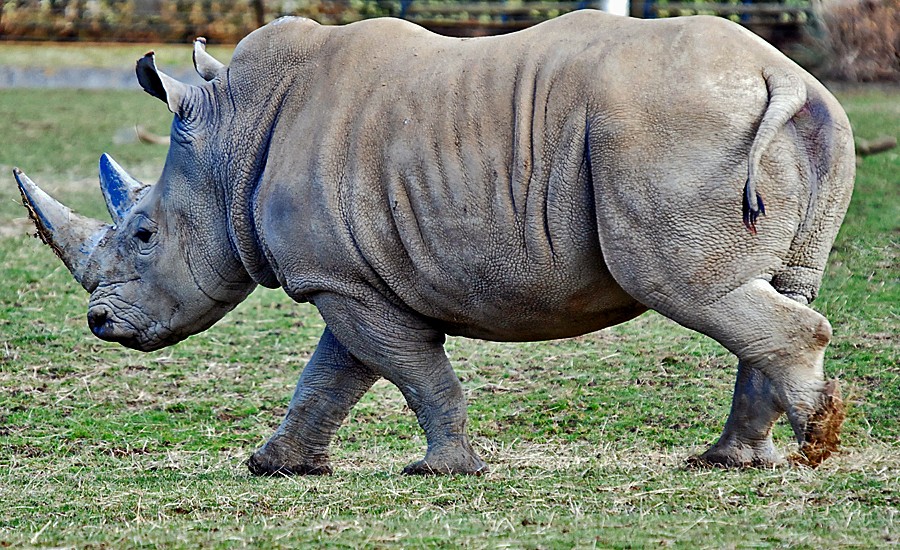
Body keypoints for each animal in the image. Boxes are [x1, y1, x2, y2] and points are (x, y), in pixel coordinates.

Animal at [14, 11, 854, 475]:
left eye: (144, 234)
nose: (99, 323)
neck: (229, 140)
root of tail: (776, 74)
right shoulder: (348, 276)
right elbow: (333, 375)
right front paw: (275, 465)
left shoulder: (338, 280)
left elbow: (410, 370)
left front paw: (445, 471)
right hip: (808, 121)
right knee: (766, 288)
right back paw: (734, 463)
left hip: (668, 132)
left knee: (689, 288)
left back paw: (811, 450)